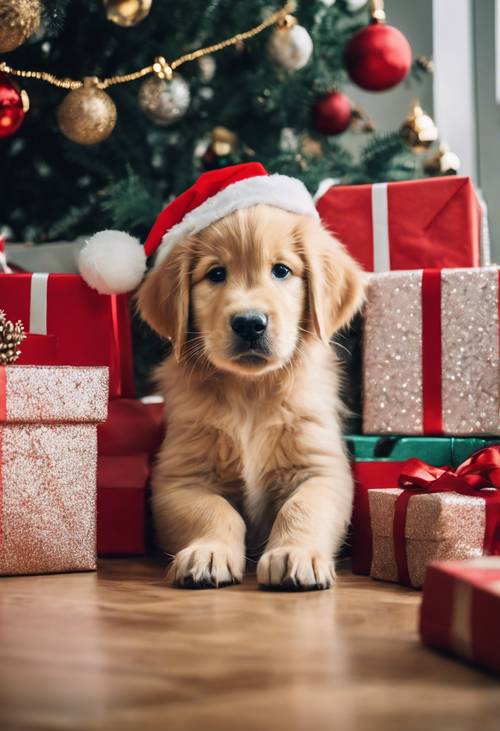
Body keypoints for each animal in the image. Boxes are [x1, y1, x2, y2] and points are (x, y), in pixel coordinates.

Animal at [137, 203, 364, 592]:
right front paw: (208, 552)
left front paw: (295, 553)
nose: (249, 323)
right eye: (216, 274)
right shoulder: (179, 478)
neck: (250, 392)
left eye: (281, 270)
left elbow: (303, 507)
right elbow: (213, 511)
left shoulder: (322, 469)